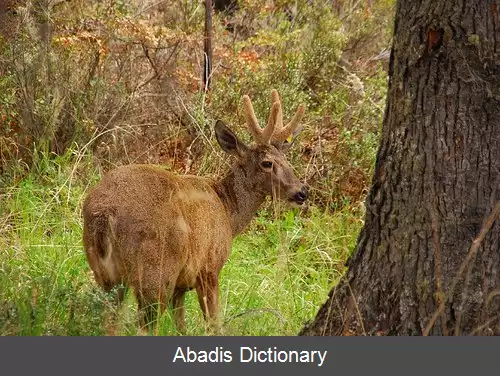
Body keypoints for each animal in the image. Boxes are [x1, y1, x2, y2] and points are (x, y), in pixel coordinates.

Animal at [82, 89, 306, 334]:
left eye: (287, 160)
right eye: (267, 163)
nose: (301, 192)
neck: (228, 211)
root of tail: (105, 213)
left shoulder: (181, 285)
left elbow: (181, 326)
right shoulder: (209, 268)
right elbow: (214, 323)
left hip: (104, 274)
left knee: (110, 321)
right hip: (155, 273)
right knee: (146, 325)